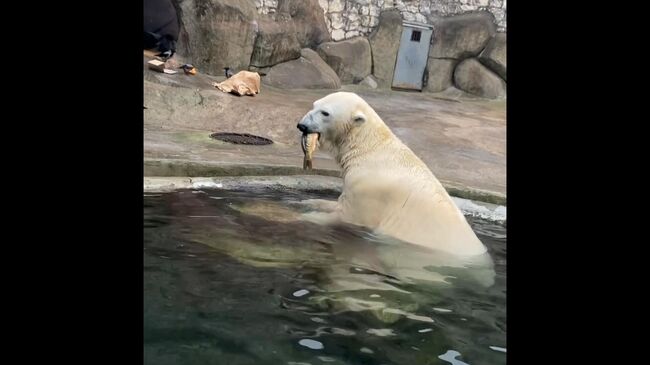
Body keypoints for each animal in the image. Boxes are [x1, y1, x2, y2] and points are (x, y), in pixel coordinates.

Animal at [296, 91, 484, 256]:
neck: (370, 148)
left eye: (325, 113)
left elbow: (347, 216)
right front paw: (308, 202)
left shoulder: (367, 188)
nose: (302, 125)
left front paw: (306, 216)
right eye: (314, 105)